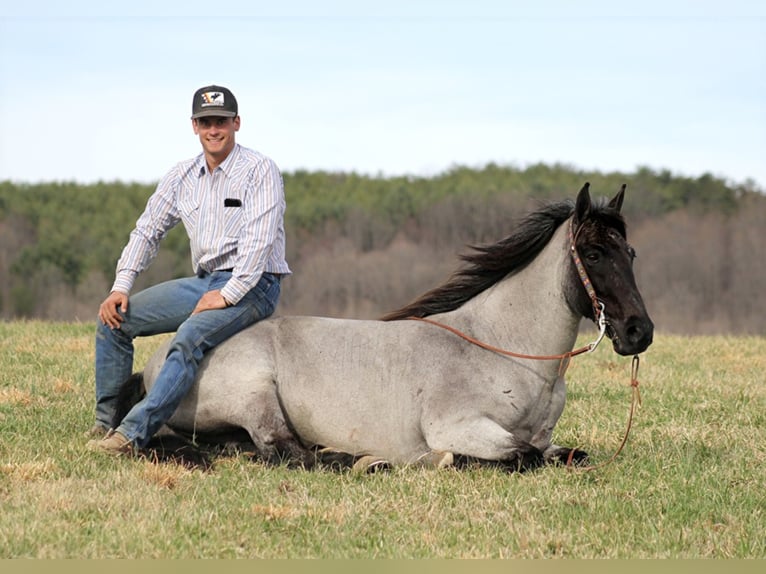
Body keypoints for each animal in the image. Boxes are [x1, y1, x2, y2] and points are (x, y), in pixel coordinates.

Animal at [114, 183, 656, 472]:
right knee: (283, 451)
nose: (639, 332)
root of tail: (160, 363)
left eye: (630, 252)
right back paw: (362, 460)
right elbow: (519, 456)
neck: (502, 350)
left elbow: (565, 454)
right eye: (593, 253)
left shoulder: (547, 439)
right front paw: (443, 460)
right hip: (255, 396)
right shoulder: (460, 427)